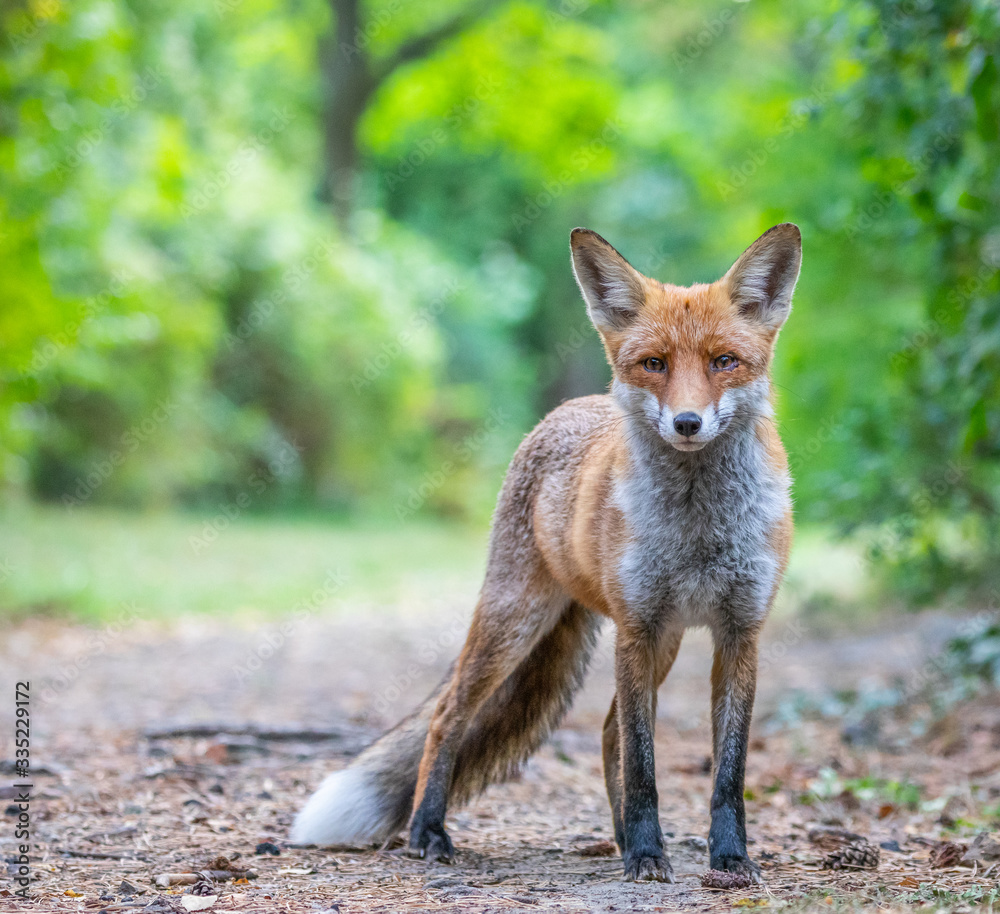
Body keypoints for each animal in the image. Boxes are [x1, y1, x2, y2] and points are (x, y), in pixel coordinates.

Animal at [292, 217, 800, 880]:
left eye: (725, 362)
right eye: (654, 363)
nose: (687, 423)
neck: (698, 529)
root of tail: (564, 409)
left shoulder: (740, 631)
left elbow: (727, 772)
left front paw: (729, 856)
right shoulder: (636, 626)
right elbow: (644, 764)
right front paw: (647, 856)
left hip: (656, 641)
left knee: (608, 730)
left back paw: (618, 838)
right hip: (517, 620)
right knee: (447, 716)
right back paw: (428, 831)